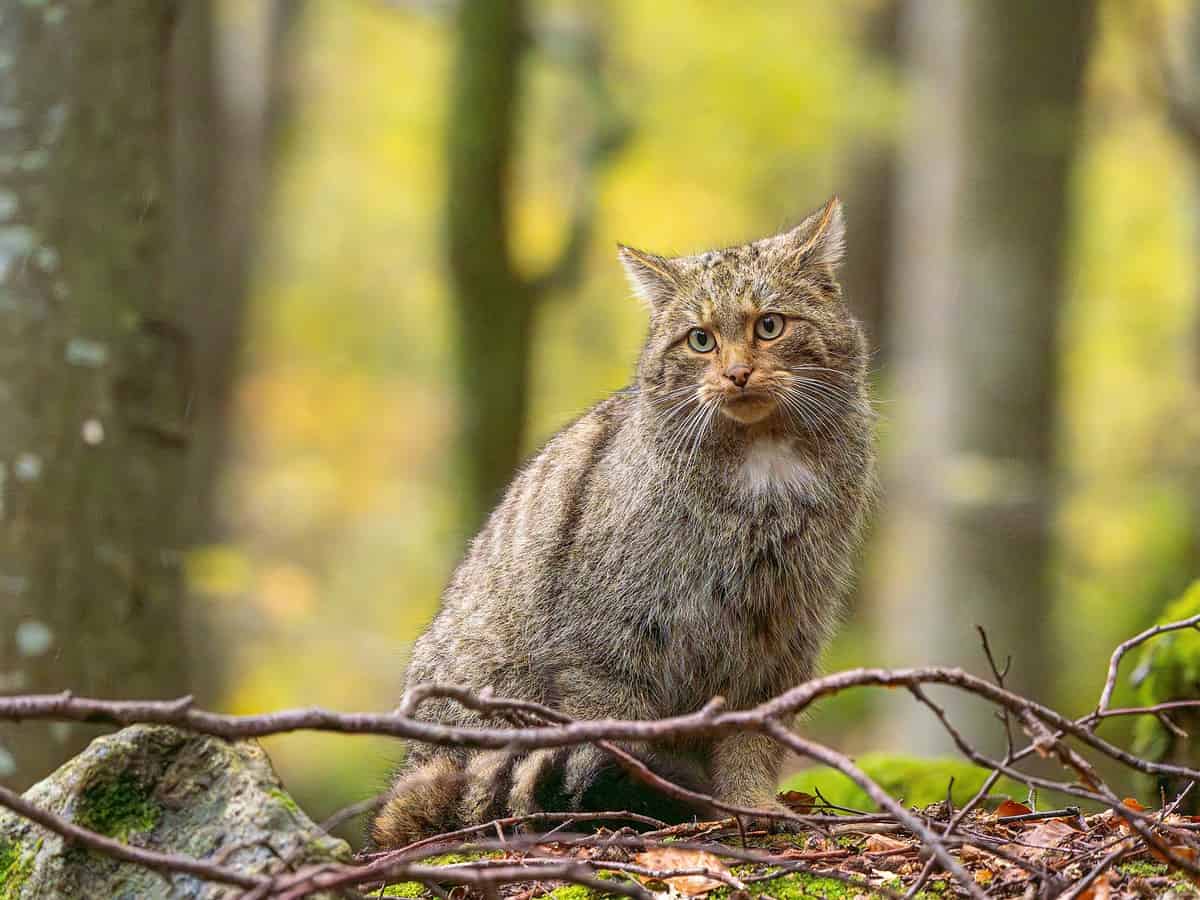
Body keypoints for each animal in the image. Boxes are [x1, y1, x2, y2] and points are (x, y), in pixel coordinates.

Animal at [369, 194, 878, 849]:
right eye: (700, 339)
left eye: (769, 325)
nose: (736, 373)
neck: (762, 466)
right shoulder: (607, 644)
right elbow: (616, 735)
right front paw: (652, 805)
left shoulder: (779, 634)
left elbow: (752, 739)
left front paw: (751, 806)